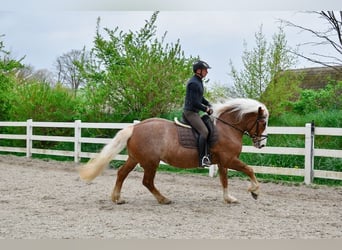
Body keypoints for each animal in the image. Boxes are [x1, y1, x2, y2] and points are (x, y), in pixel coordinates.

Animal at [79, 96, 268, 204]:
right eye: (263, 122)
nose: (262, 144)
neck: (226, 128)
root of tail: (135, 127)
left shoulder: (222, 162)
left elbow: (224, 180)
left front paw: (229, 198)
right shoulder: (229, 159)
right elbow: (249, 170)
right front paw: (254, 191)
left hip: (135, 159)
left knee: (122, 173)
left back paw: (117, 198)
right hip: (150, 162)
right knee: (147, 181)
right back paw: (163, 199)